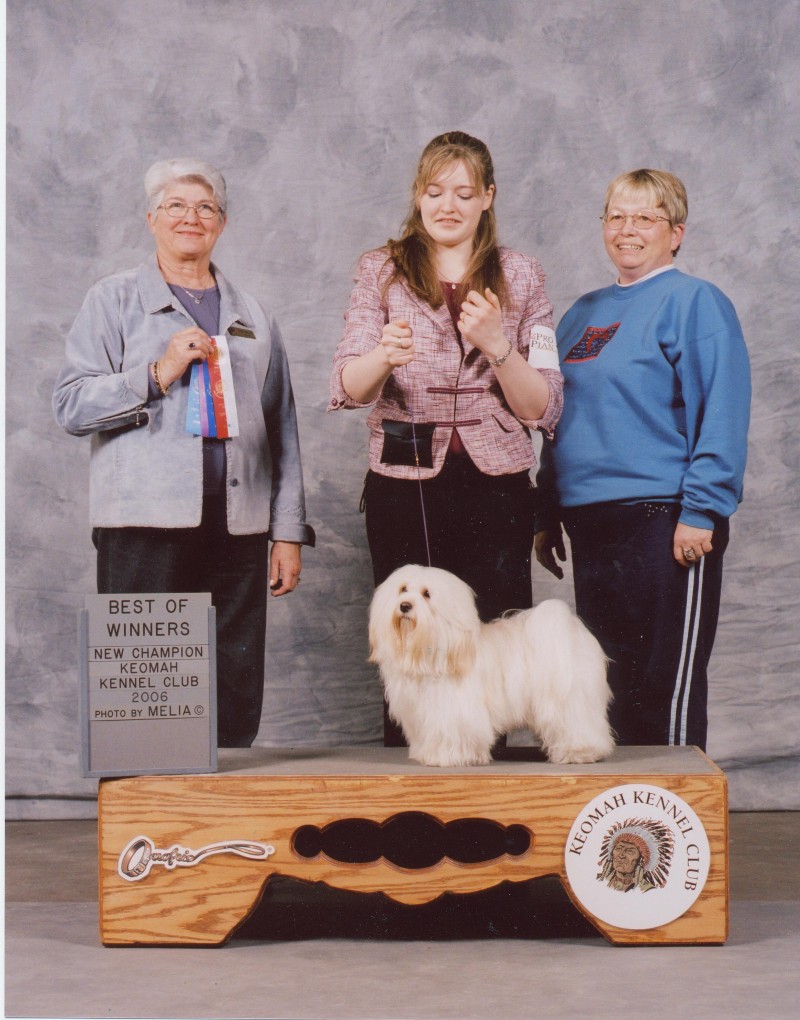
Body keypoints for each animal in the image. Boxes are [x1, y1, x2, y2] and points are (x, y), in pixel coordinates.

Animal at [367, 567, 612, 767]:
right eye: (403, 589)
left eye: (426, 594)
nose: (404, 605)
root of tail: (571, 630)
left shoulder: (456, 711)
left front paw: (447, 757)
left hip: (570, 699)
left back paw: (580, 752)